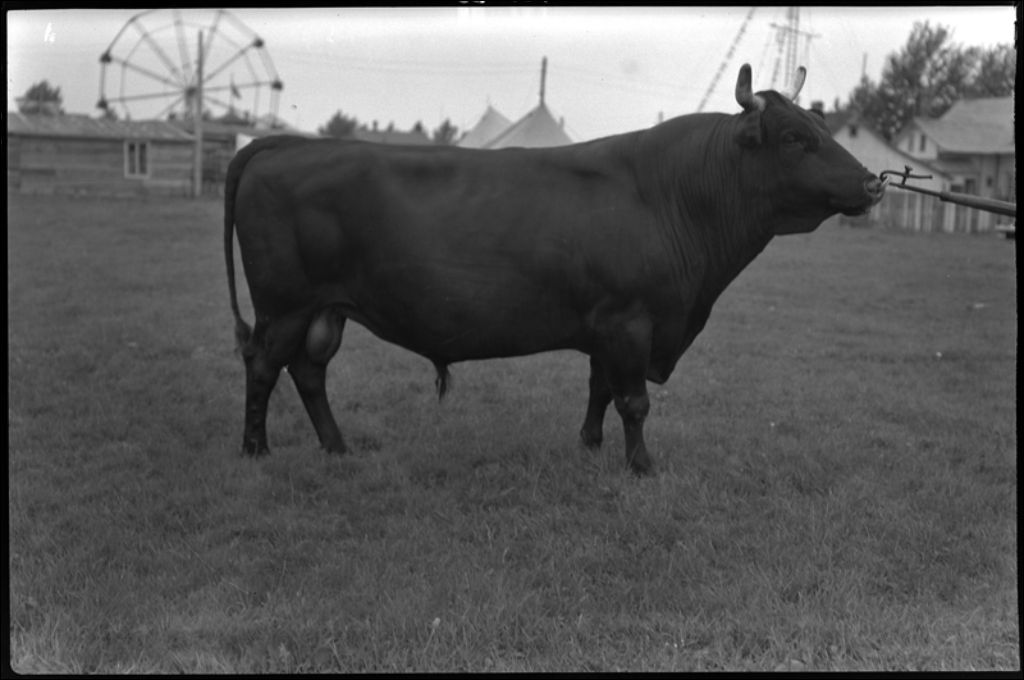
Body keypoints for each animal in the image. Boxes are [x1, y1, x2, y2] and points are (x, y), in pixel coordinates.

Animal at [224, 64, 884, 475]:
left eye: (824, 125)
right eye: (795, 136)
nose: (873, 183)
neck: (673, 195)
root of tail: (286, 143)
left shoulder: (609, 324)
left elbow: (600, 388)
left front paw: (590, 446)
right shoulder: (631, 321)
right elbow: (634, 400)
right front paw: (641, 465)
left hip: (325, 310)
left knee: (309, 371)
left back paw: (337, 449)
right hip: (284, 305)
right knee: (263, 365)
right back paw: (255, 450)